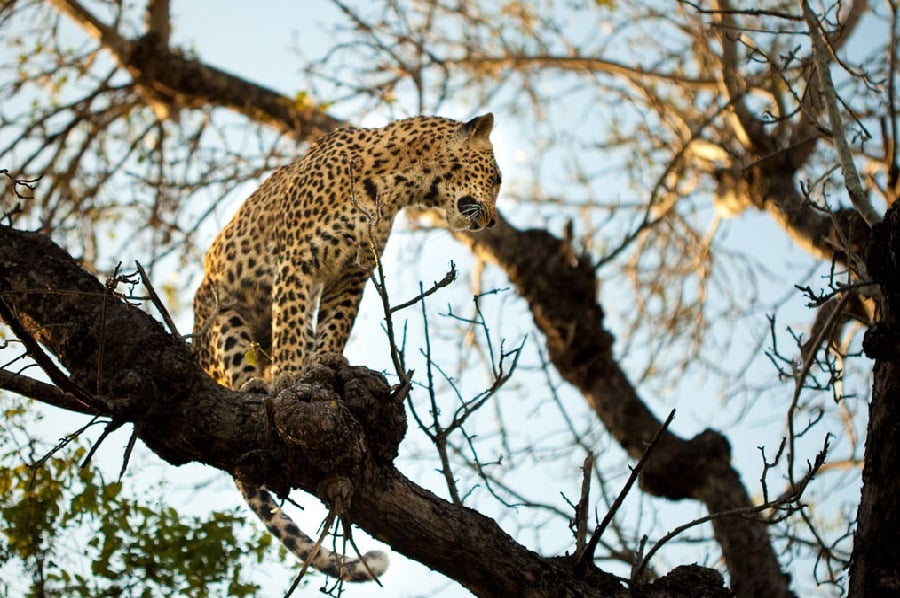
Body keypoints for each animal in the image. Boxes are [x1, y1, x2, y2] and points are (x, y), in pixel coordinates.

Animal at [192, 115, 500, 584]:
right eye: (496, 179)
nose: (494, 223)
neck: (399, 183)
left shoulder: (353, 272)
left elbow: (335, 324)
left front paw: (327, 361)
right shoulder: (296, 261)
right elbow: (291, 324)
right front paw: (291, 377)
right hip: (221, 312)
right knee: (239, 361)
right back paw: (256, 387)